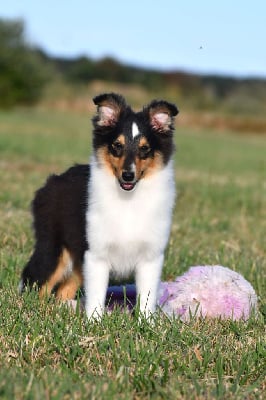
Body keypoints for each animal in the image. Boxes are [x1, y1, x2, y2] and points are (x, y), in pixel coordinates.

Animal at [20, 93, 179, 318]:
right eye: (117, 145)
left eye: (145, 149)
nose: (128, 175)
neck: (128, 199)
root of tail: (52, 181)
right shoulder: (96, 254)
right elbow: (96, 296)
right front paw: (94, 321)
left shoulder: (150, 257)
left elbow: (147, 298)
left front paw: (146, 324)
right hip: (54, 246)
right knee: (37, 282)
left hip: (78, 253)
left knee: (62, 290)